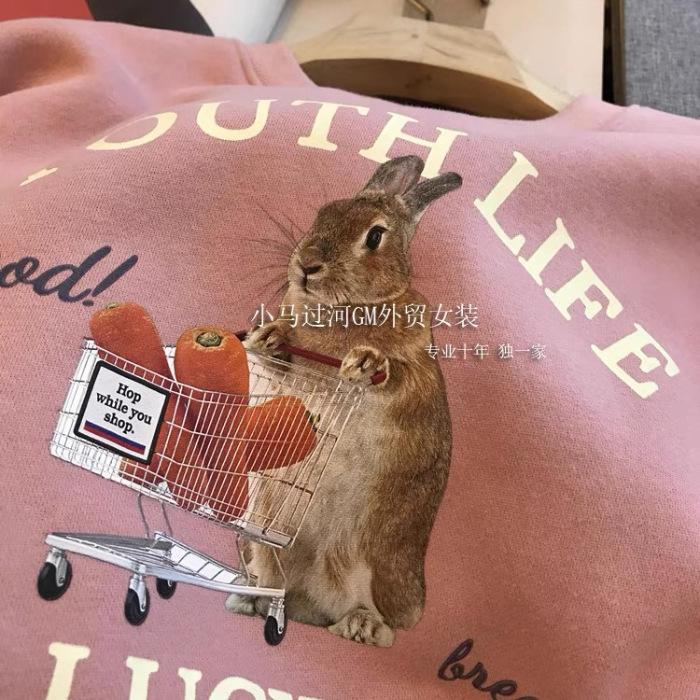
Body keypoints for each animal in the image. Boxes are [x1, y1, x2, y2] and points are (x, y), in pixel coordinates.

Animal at [225, 155, 462, 647]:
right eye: (323, 211)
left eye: (374, 236)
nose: (307, 265)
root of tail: (307, 607)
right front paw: (269, 336)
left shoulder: (417, 371)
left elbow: (395, 376)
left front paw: (364, 363)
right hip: (259, 535)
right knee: (270, 579)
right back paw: (250, 599)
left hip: (372, 561)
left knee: (384, 620)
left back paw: (361, 627)